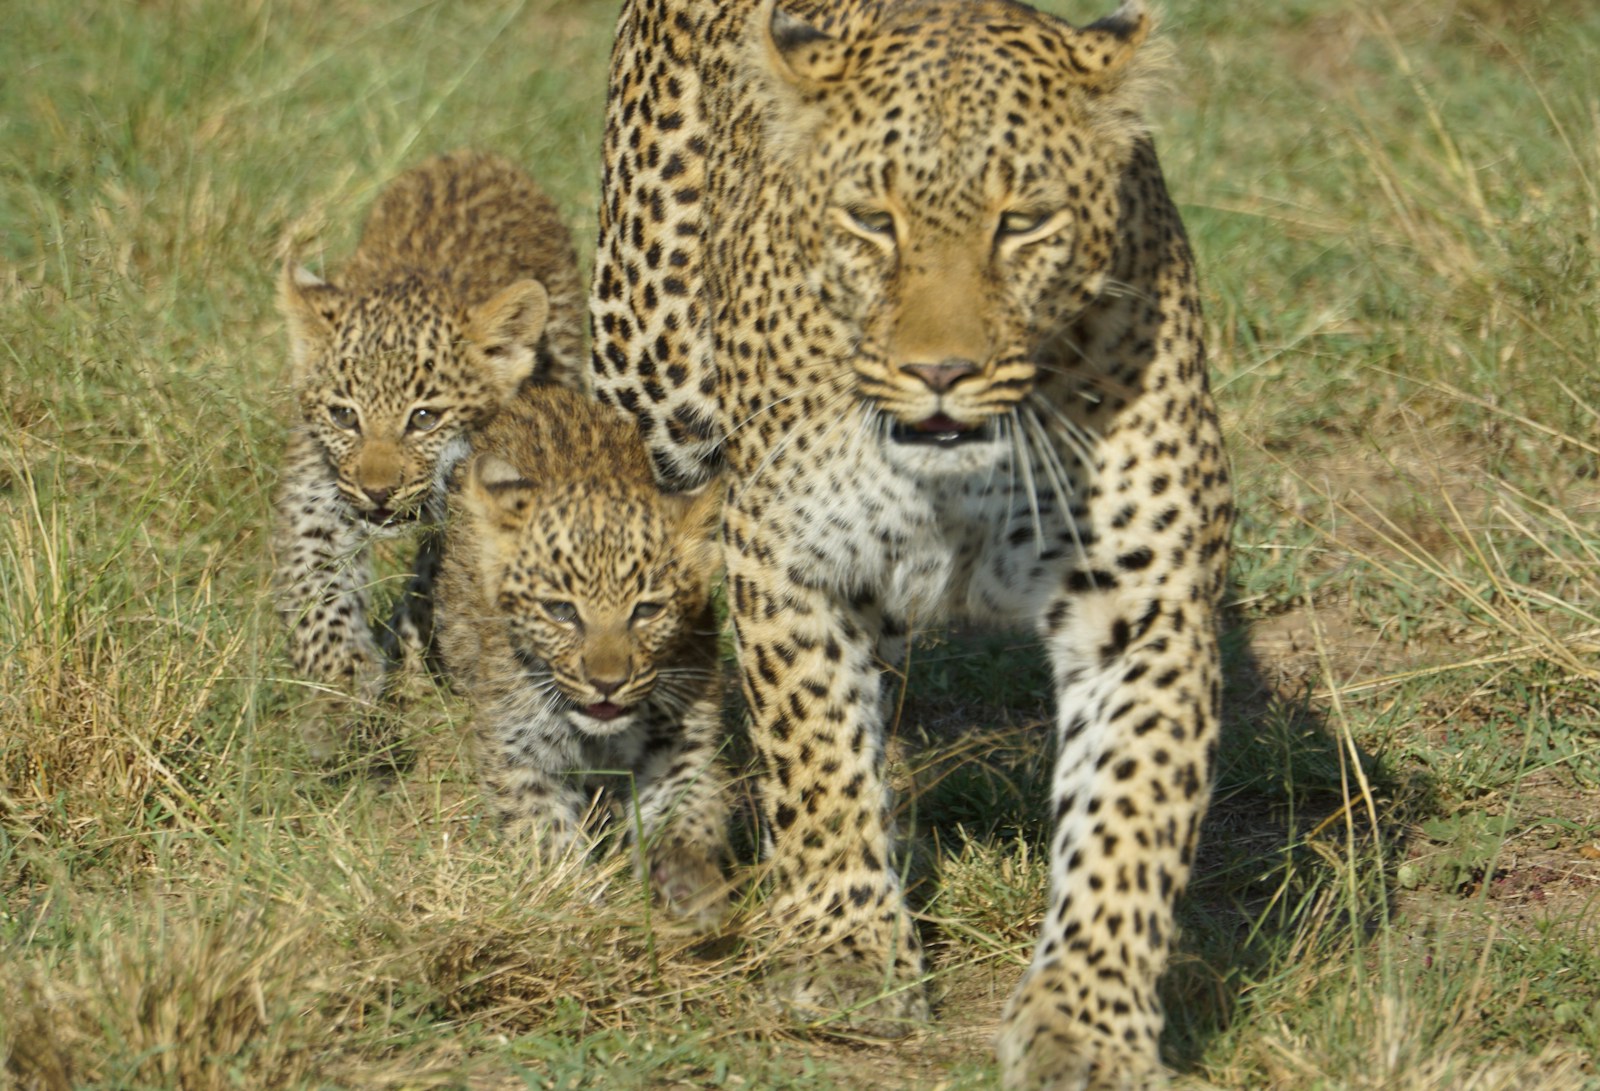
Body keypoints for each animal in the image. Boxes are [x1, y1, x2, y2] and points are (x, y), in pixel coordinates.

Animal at [273, 150, 585, 756]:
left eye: (424, 419)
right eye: (344, 416)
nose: (377, 491)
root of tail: (475, 156)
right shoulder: (318, 486)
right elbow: (317, 588)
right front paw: (339, 693)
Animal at [435, 384, 730, 925]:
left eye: (647, 611)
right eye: (561, 612)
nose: (607, 683)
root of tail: (540, 393)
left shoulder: (681, 741)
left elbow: (686, 806)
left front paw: (687, 877)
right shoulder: (518, 754)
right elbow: (543, 830)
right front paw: (568, 901)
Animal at [588, 0, 1232, 1085]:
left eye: (1023, 222)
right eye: (871, 221)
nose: (940, 371)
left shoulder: (1146, 598)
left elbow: (1127, 816)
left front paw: (1086, 1022)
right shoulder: (786, 555)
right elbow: (813, 754)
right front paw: (843, 947)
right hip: (649, 372)